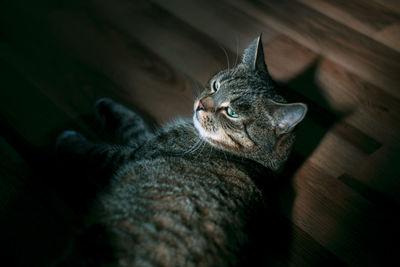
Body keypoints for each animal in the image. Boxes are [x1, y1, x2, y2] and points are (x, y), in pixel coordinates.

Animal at [55, 34, 306, 266]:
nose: (200, 105)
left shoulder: (135, 152)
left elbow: (105, 145)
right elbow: (134, 121)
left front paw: (72, 137)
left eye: (232, 112)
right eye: (216, 86)